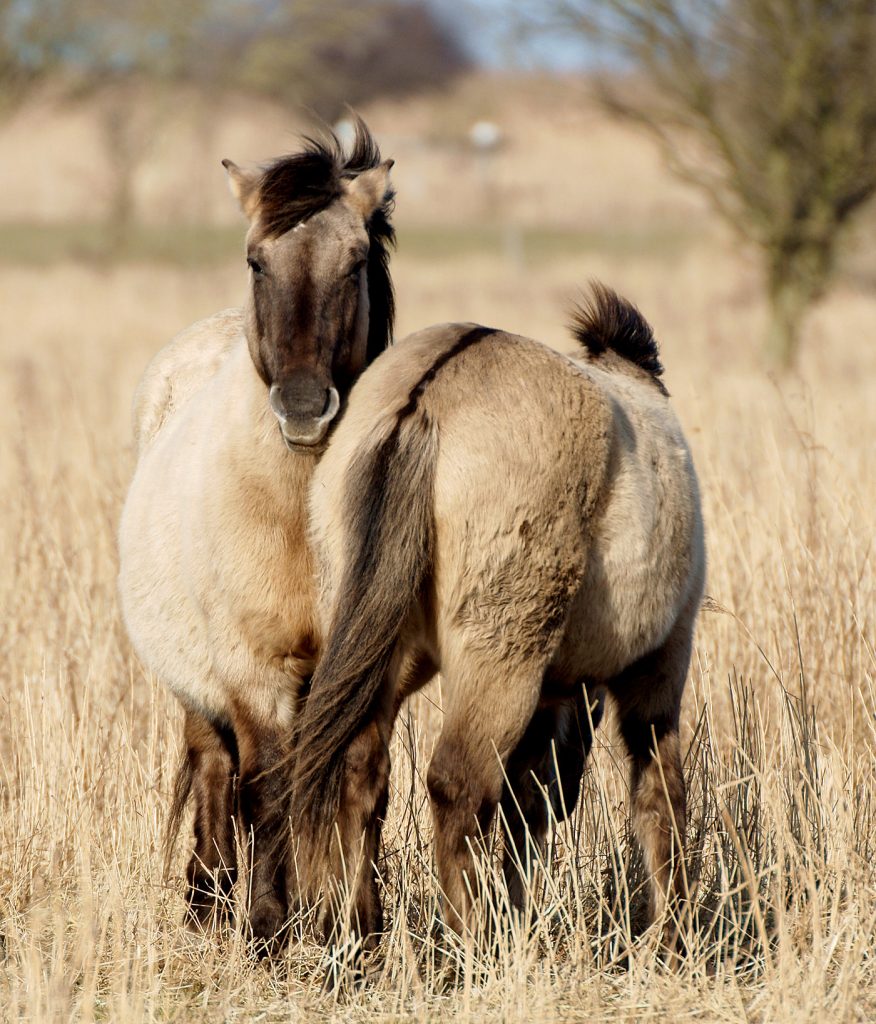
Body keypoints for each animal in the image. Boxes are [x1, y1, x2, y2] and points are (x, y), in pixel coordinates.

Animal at [115, 117, 393, 942]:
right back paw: (209, 901)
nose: (303, 408)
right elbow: (266, 789)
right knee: (215, 766)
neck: (302, 520)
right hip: (198, 679)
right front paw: (270, 928)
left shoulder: (367, 668)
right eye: (256, 261)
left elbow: (362, 783)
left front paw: (358, 932)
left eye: (355, 261)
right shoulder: (252, 673)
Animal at [286, 282, 704, 950]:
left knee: (361, 773)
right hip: (499, 663)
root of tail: (426, 401)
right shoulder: (657, 669)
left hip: (383, 653)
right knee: (457, 785)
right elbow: (658, 795)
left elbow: (524, 808)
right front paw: (674, 938)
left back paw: (362, 938)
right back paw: (472, 942)